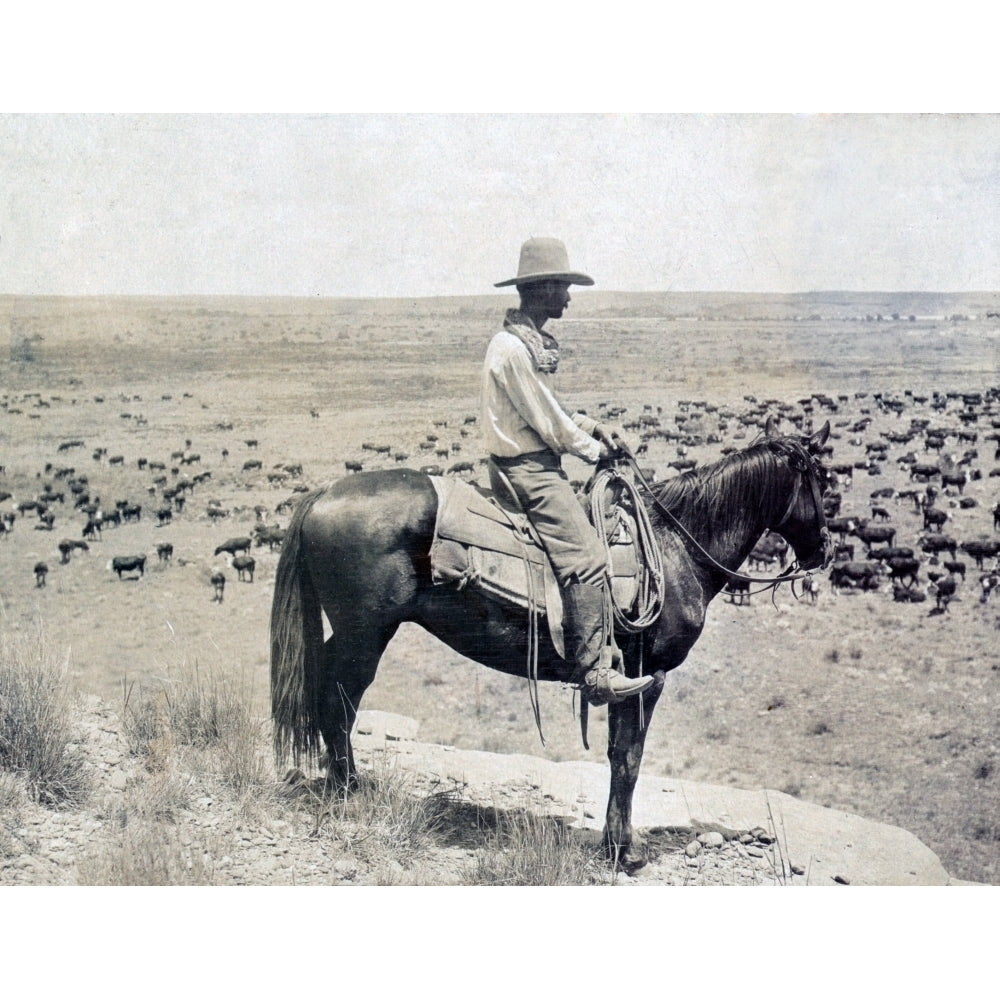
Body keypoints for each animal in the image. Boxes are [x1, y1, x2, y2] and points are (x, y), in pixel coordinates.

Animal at [270, 414, 832, 868]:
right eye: (820, 480)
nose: (824, 550)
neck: (677, 548)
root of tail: (322, 495)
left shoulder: (629, 678)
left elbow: (617, 755)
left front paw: (613, 843)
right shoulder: (646, 677)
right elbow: (629, 759)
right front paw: (622, 852)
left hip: (353, 633)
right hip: (365, 634)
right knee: (338, 700)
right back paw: (349, 792)